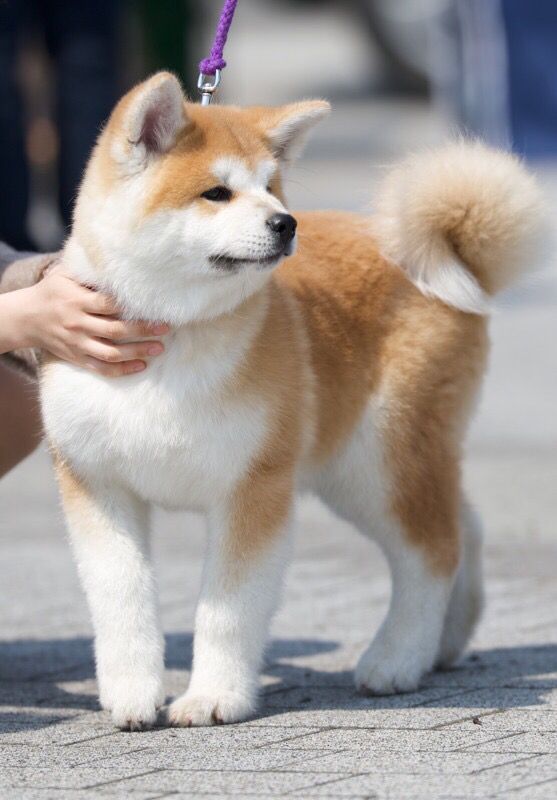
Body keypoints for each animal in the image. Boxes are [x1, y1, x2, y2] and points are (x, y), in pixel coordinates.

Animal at [40, 72, 544, 728]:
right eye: (216, 193)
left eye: (271, 187)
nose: (286, 223)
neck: (174, 336)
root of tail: (455, 257)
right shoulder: (97, 484)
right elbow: (120, 599)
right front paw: (131, 694)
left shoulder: (255, 485)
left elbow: (227, 610)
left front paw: (214, 696)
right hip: (370, 467)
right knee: (464, 528)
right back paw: (445, 642)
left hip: (375, 464)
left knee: (433, 551)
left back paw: (397, 659)